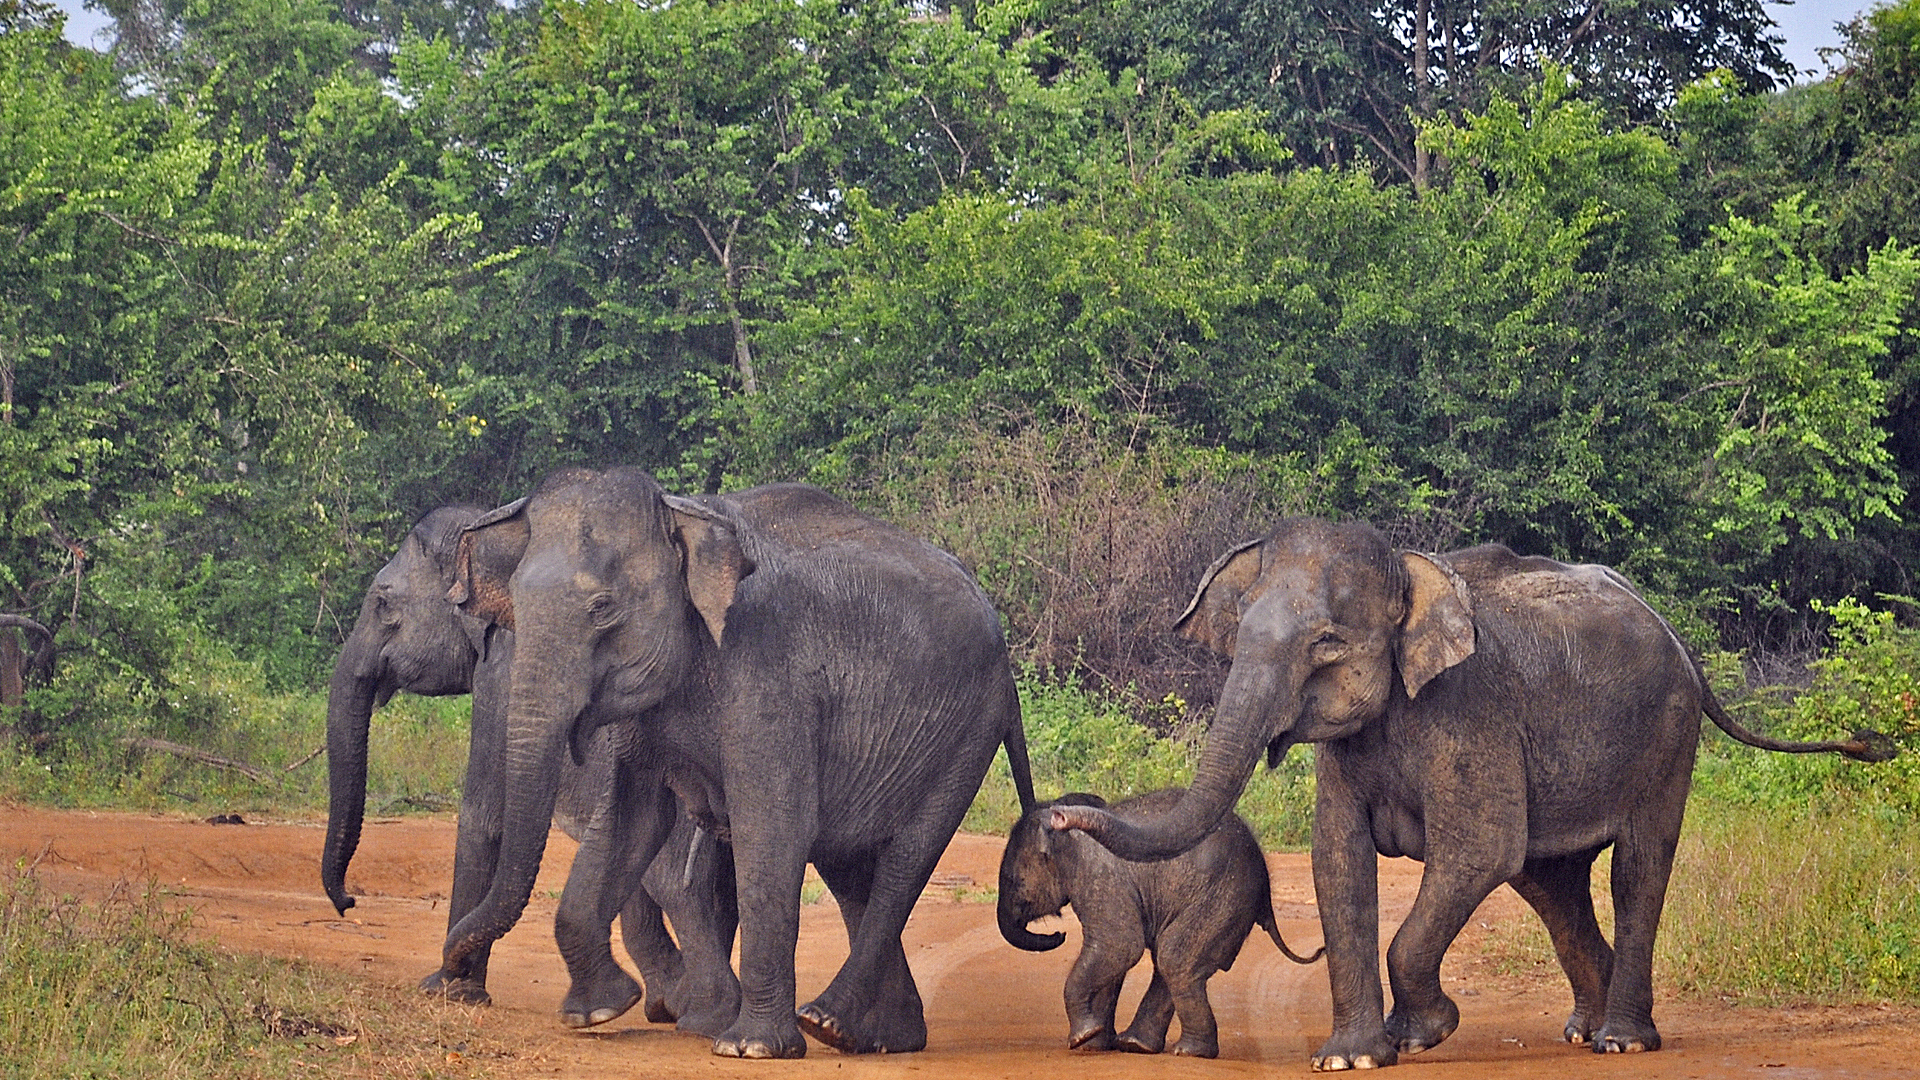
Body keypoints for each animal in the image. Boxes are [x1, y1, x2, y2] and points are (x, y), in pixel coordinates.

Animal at [318, 505, 742, 1034]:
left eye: (382, 603)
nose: (348, 903)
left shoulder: (501, 674)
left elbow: (483, 817)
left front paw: (448, 990)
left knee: (678, 883)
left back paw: (700, 1014)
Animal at [437, 469, 1038, 1059]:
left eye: (602, 609)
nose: (451, 979)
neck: (681, 514)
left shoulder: (769, 671)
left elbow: (771, 830)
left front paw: (749, 1048)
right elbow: (630, 825)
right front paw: (595, 1012)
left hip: (967, 732)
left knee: (902, 863)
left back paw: (827, 1021)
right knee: (849, 866)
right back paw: (873, 1038)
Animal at [998, 789, 1322, 1059]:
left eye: (1013, 881)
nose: (1059, 934)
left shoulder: (1099, 877)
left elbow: (1119, 945)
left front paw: (1082, 1039)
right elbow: (1112, 957)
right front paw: (1094, 1043)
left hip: (1221, 897)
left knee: (1175, 959)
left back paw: (1187, 1052)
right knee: (1173, 963)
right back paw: (1137, 1045)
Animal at [1049, 518, 1895, 1071]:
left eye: (1326, 644)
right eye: (1237, 634)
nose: (1059, 814)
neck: (1409, 571)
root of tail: (1674, 631)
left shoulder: (1469, 709)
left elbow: (1478, 849)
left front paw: (1423, 1033)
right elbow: (1338, 861)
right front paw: (1351, 1059)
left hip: (1666, 736)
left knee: (1634, 866)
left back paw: (1622, 1040)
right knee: (1550, 884)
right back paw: (1583, 1030)